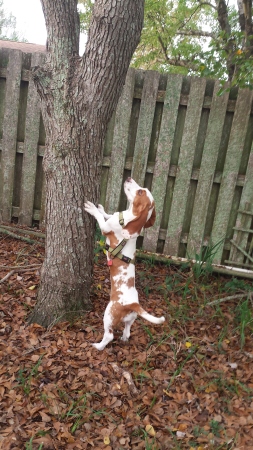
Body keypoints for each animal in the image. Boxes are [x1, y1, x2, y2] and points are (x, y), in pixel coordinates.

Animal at [84, 178, 165, 350]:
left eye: (140, 191)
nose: (128, 178)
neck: (127, 219)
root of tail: (133, 304)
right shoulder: (114, 216)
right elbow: (108, 213)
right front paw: (101, 207)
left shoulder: (105, 227)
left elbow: (100, 218)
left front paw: (92, 208)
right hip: (130, 319)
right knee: (127, 330)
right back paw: (124, 337)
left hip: (108, 315)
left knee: (109, 335)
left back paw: (98, 346)